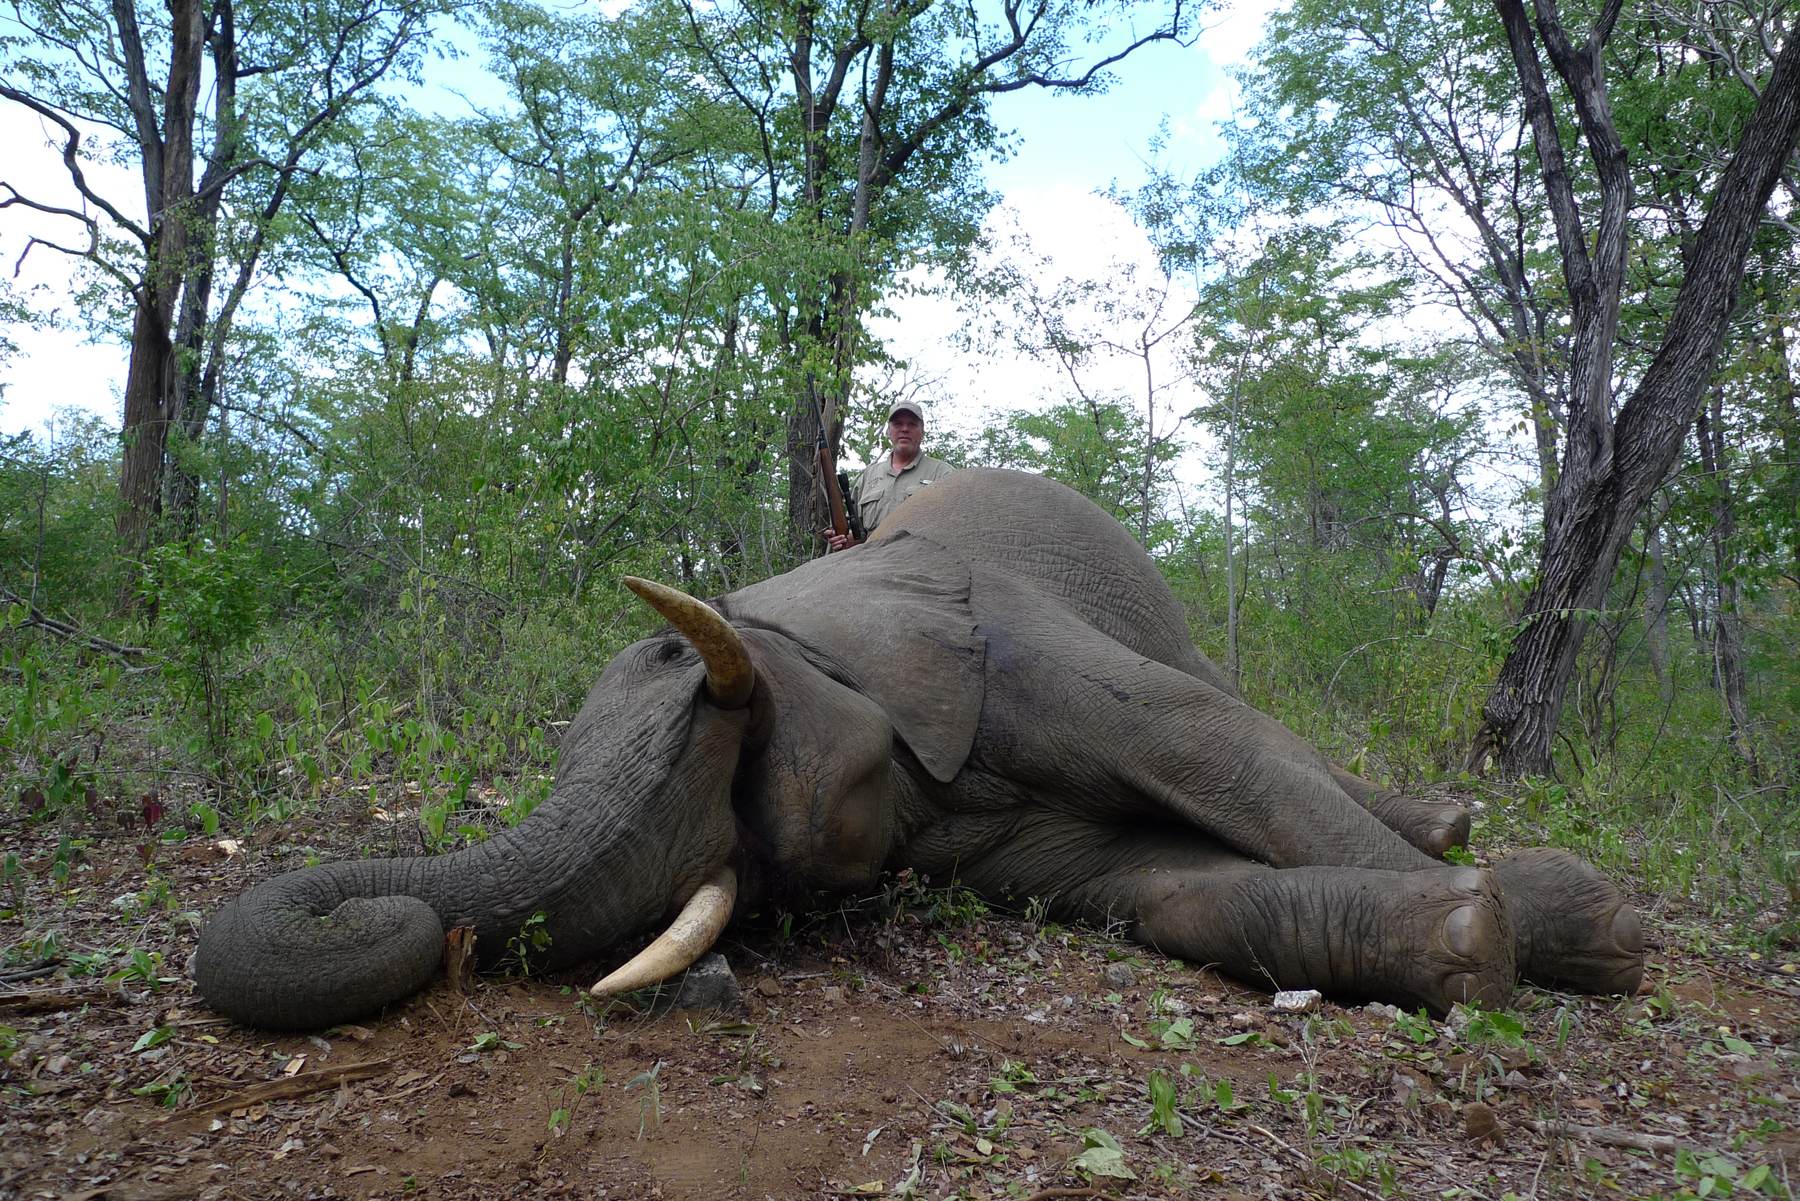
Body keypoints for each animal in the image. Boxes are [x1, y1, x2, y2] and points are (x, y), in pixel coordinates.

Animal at [195, 468, 1644, 1030]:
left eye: (717, 702)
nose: (383, 914)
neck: (816, 602)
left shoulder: (1013, 650)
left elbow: (1211, 753)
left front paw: (1531, 931)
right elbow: (1155, 889)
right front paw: (1472, 938)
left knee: (1236, 710)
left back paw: (1491, 854)